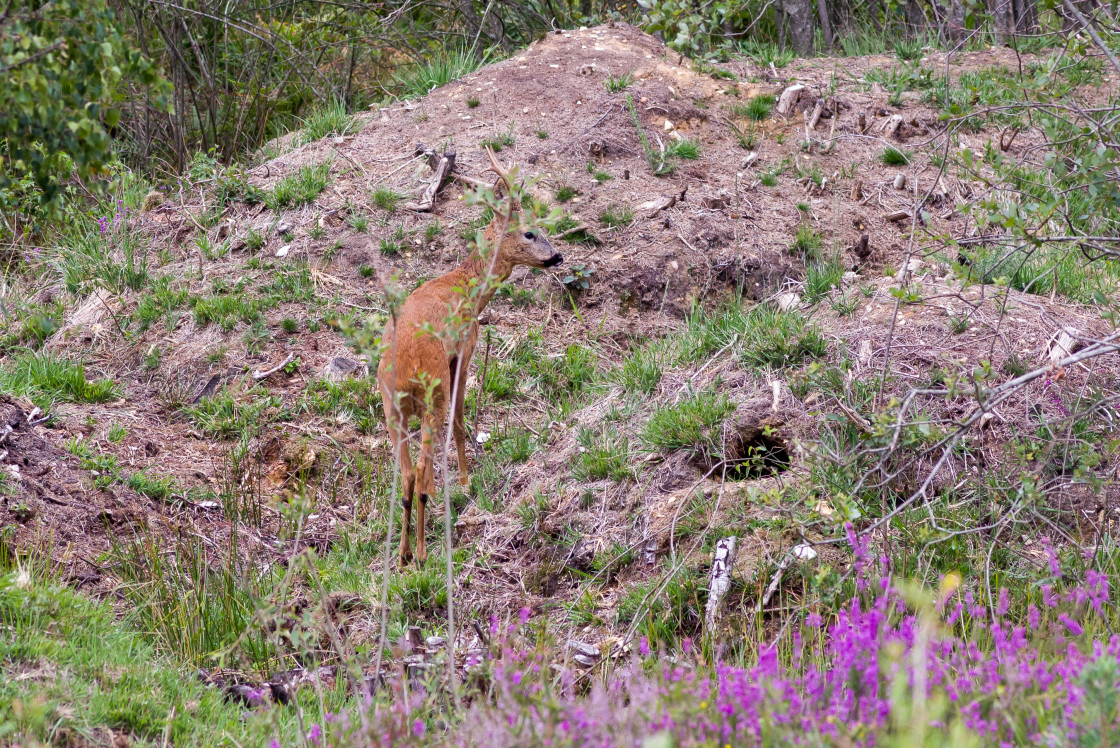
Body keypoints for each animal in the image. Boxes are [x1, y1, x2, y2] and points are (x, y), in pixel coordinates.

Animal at [380, 147, 564, 566]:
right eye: (529, 232)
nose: (557, 256)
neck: (466, 286)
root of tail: (404, 371)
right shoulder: (465, 346)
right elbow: (462, 417)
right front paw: (465, 481)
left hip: (390, 406)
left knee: (405, 472)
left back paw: (403, 553)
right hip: (432, 387)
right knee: (421, 464)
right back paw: (422, 551)